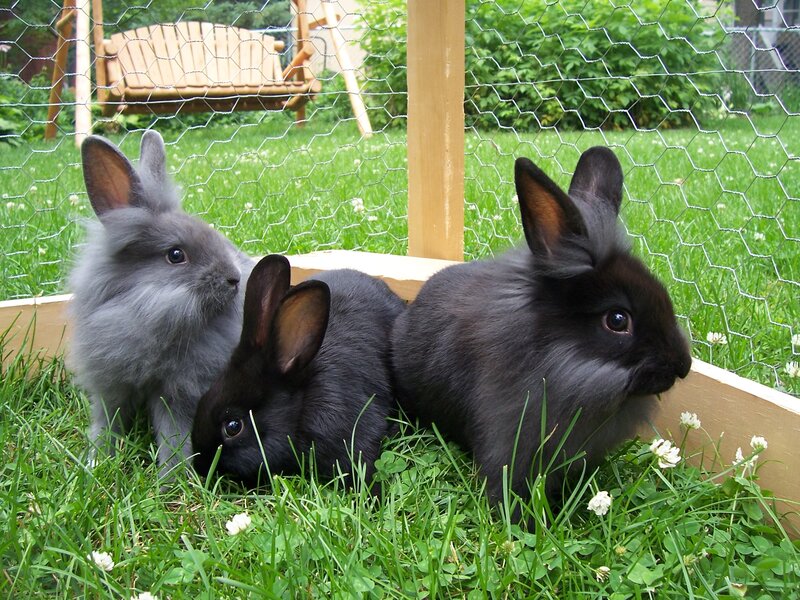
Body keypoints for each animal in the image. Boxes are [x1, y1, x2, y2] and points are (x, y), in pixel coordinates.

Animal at [67, 130, 255, 478]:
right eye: (176, 255)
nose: (234, 278)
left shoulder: (179, 393)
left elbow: (174, 436)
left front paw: (171, 478)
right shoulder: (109, 387)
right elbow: (106, 423)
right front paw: (96, 461)